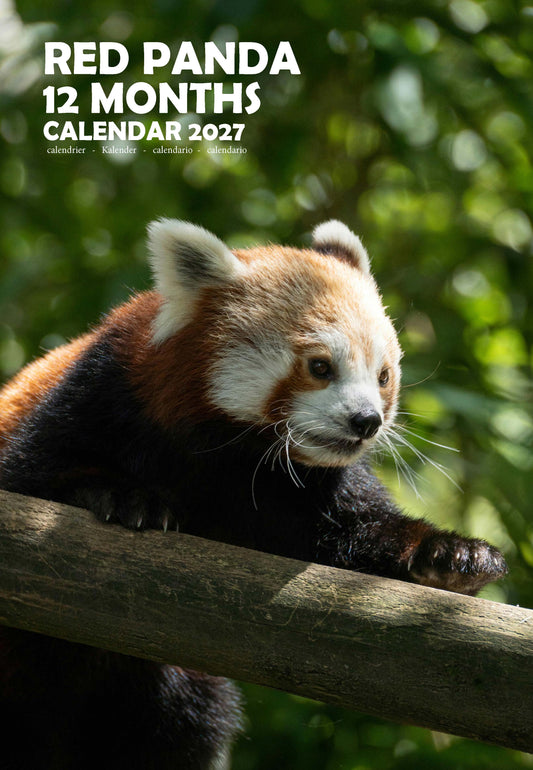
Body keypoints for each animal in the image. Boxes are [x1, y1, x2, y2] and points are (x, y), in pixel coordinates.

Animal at [0, 219, 507, 769]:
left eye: (384, 375)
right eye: (320, 367)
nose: (367, 421)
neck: (236, 457)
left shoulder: (311, 490)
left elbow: (360, 532)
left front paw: (453, 557)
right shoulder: (98, 394)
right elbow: (34, 477)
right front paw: (123, 495)